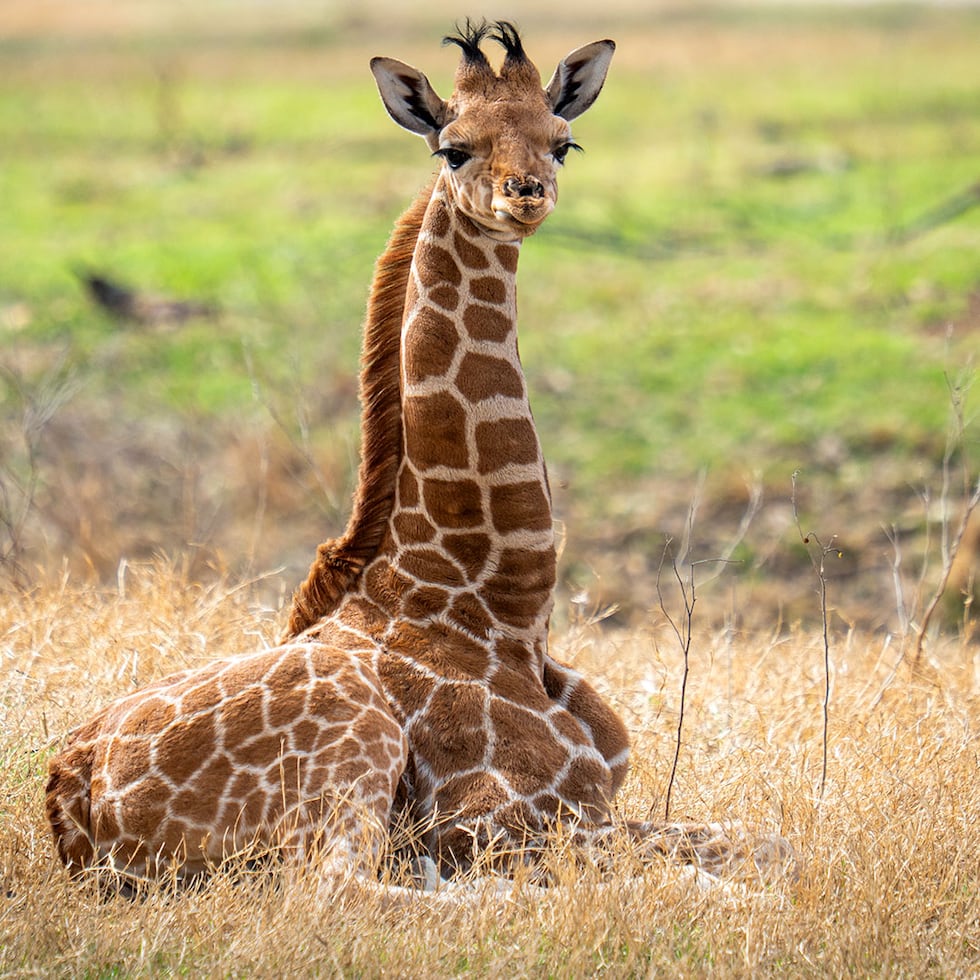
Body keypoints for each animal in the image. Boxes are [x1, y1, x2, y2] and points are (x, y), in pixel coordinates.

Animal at [47, 22, 793, 894]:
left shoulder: (597, 806)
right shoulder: (498, 821)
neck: (502, 609)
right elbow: (696, 883)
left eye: (564, 142)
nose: (525, 195)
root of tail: (68, 803)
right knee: (343, 890)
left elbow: (770, 846)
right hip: (350, 747)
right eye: (453, 148)